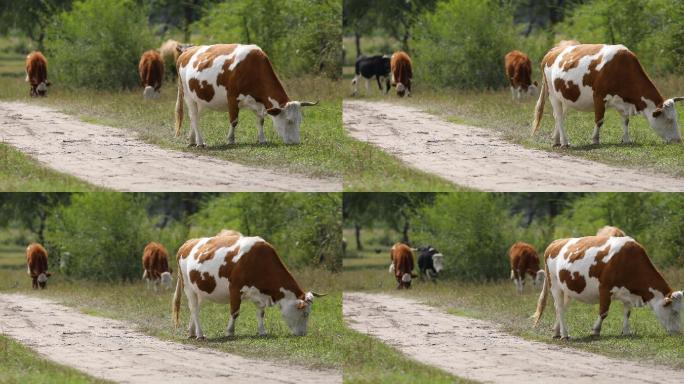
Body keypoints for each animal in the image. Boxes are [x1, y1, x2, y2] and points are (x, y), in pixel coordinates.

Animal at [172, 230, 324, 338]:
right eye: (305, 314)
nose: (303, 334)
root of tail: (188, 243)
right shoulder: (234, 288)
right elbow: (235, 312)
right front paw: (230, 332)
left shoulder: (258, 293)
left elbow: (261, 312)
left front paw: (262, 331)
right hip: (187, 286)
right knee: (194, 309)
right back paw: (199, 334)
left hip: (199, 289)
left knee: (195, 308)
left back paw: (191, 332)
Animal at [174, 44, 318, 147]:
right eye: (289, 121)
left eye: (300, 120)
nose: (296, 142)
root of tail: (186, 52)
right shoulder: (232, 97)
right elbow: (234, 120)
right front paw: (230, 140)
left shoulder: (259, 103)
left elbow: (260, 120)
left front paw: (262, 139)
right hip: (188, 95)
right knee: (194, 117)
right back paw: (200, 142)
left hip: (200, 99)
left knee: (195, 117)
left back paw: (192, 140)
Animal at [536, 41, 684, 147]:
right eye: (669, 120)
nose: (678, 140)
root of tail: (551, 52)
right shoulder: (599, 97)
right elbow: (599, 120)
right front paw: (595, 140)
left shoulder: (623, 102)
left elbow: (625, 121)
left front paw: (626, 139)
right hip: (553, 95)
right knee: (559, 117)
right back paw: (565, 142)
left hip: (565, 98)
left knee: (558, 116)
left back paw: (556, 140)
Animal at [536, 237, 680, 340]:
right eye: (674, 312)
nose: (678, 333)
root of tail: (555, 242)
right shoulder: (605, 289)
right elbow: (603, 312)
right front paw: (595, 330)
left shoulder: (627, 293)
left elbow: (627, 312)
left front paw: (626, 331)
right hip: (554, 284)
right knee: (560, 308)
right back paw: (565, 334)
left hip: (567, 289)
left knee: (560, 308)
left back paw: (556, 332)